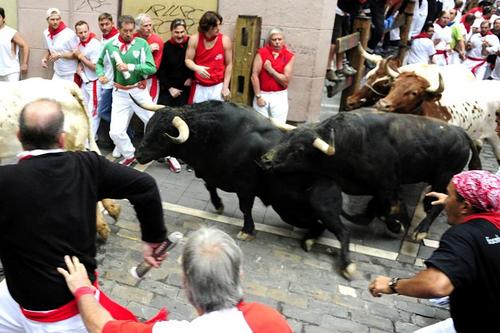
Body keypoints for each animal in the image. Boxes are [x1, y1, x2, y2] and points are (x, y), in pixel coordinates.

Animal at [135, 101, 358, 278]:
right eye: (149, 126)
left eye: (162, 135)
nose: (137, 154)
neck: (218, 135)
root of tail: (334, 181)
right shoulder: (210, 173)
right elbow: (210, 186)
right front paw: (218, 205)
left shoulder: (245, 186)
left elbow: (245, 208)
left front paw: (247, 230)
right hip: (290, 213)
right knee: (319, 226)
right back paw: (309, 240)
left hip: (323, 207)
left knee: (343, 231)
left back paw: (347, 265)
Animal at [260, 110, 482, 240]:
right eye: (286, 138)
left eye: (299, 149)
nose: (265, 160)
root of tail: (461, 133)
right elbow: (374, 209)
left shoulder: (387, 185)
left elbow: (386, 207)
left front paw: (396, 225)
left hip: (445, 177)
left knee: (440, 203)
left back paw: (421, 230)